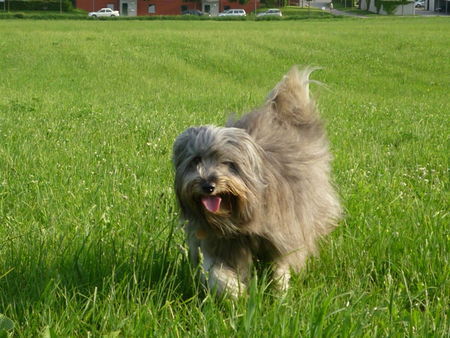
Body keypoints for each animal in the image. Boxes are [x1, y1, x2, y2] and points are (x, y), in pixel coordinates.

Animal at [172, 66, 342, 296]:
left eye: (227, 163)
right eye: (195, 160)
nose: (208, 186)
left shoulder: (284, 229)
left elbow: (281, 263)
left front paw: (279, 292)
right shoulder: (221, 241)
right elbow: (216, 271)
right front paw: (235, 291)